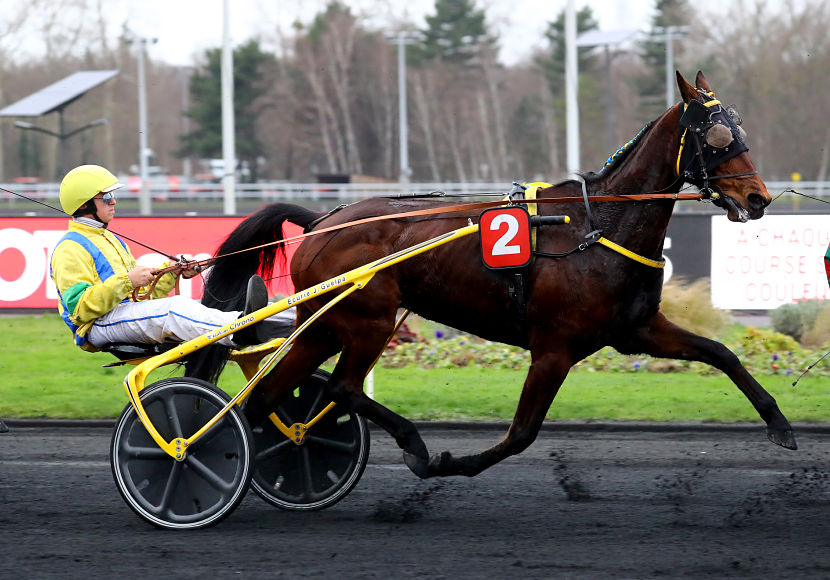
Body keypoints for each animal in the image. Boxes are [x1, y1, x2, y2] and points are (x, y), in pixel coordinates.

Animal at [195, 71, 800, 480]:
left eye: (739, 127)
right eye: (716, 135)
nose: (759, 198)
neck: (598, 225)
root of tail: (322, 219)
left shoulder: (637, 331)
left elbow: (721, 353)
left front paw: (781, 426)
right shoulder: (554, 347)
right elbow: (522, 433)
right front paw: (448, 462)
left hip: (324, 325)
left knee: (266, 399)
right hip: (368, 321)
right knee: (341, 388)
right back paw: (413, 445)